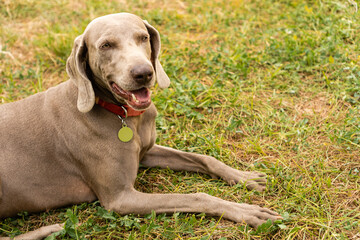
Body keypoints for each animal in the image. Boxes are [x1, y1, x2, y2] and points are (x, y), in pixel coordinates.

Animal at [0, 13, 282, 240]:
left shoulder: (146, 151)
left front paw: (244, 177)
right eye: (106, 45)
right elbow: (197, 196)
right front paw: (247, 211)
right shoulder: (120, 198)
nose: (143, 73)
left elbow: (204, 158)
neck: (125, 116)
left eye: (143, 37)